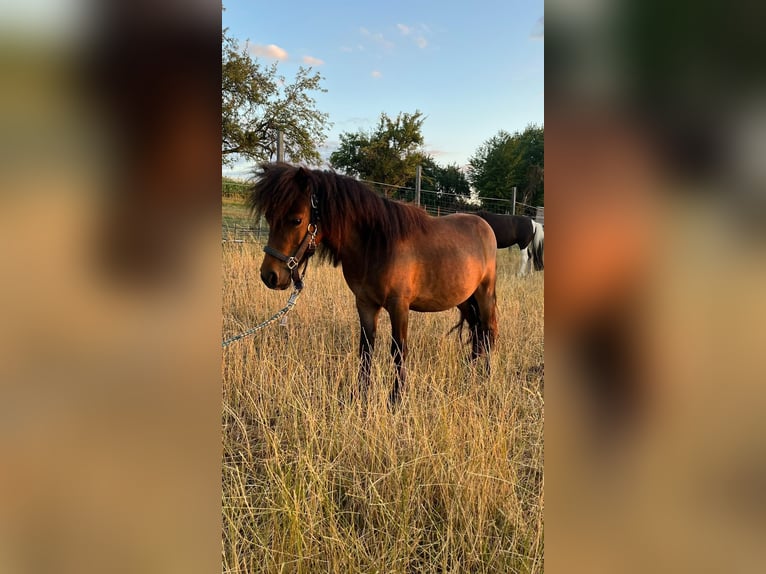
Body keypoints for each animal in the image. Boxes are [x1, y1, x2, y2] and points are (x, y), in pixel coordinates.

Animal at [249, 163, 499, 405]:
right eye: (269, 218)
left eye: (297, 220)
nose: (269, 275)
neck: (376, 245)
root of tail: (484, 225)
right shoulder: (365, 304)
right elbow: (366, 349)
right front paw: (360, 395)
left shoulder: (399, 306)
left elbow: (398, 351)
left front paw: (396, 400)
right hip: (464, 299)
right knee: (477, 333)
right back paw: (469, 375)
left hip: (484, 294)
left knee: (488, 332)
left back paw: (486, 379)